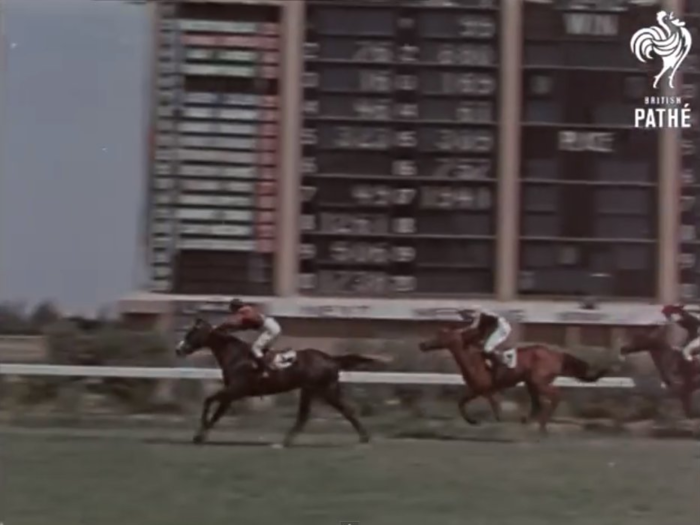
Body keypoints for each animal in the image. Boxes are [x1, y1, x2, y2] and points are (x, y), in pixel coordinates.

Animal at [418, 326, 608, 432]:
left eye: (440, 336)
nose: (422, 344)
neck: (473, 361)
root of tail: (558, 354)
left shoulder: (485, 389)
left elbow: (493, 405)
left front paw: (491, 418)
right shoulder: (476, 390)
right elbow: (461, 403)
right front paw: (472, 420)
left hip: (539, 381)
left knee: (555, 395)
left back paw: (541, 425)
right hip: (531, 382)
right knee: (537, 404)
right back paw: (528, 421)